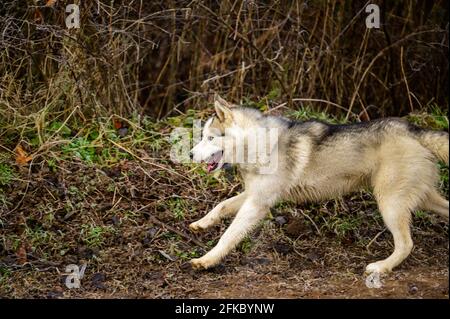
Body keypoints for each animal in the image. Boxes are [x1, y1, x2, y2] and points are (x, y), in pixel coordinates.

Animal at [188, 95, 448, 276]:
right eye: (203, 137)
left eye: (210, 138)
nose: (189, 154)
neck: (259, 145)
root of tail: (413, 130)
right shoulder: (254, 195)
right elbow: (221, 206)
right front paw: (201, 224)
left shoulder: (257, 203)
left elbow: (228, 235)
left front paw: (206, 260)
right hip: (422, 200)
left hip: (390, 205)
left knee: (406, 244)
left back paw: (381, 267)